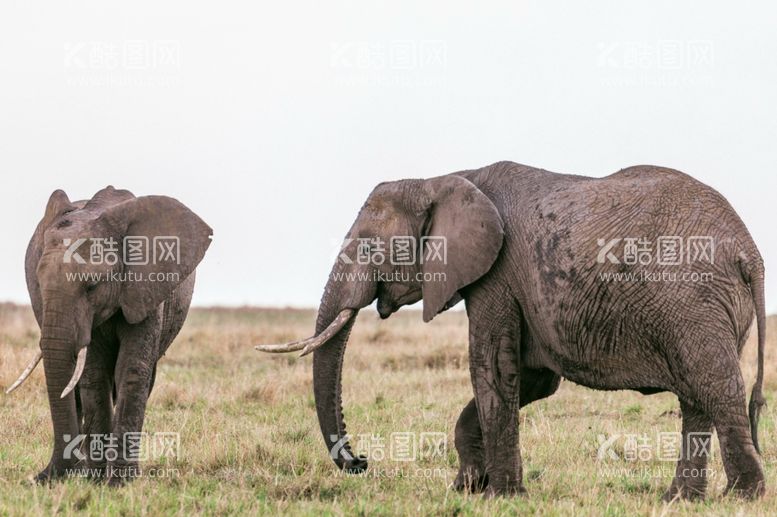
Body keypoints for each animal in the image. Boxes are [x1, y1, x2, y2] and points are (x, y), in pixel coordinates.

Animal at [6, 185, 212, 484]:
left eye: (92, 286)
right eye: (39, 285)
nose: (40, 478)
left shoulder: (146, 287)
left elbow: (131, 370)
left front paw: (120, 482)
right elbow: (93, 374)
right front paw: (95, 479)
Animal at [258, 162, 768, 500]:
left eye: (368, 247)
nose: (362, 462)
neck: (444, 178)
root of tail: (750, 253)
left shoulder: (496, 274)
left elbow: (493, 369)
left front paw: (498, 496)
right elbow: (532, 379)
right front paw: (466, 488)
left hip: (696, 301)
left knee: (715, 386)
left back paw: (741, 498)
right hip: (708, 308)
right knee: (696, 397)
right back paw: (679, 500)